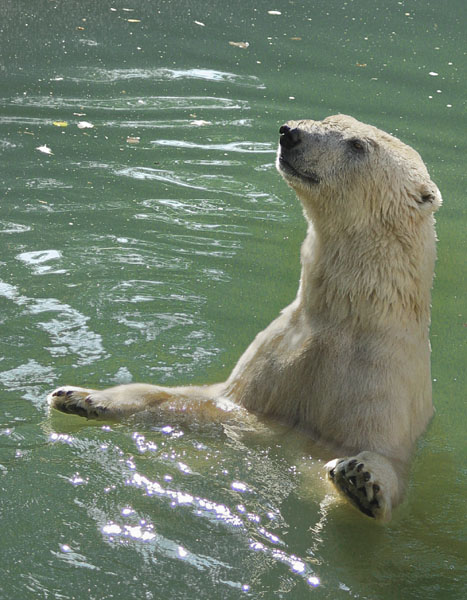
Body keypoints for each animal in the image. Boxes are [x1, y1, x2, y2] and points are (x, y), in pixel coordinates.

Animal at [48, 115, 442, 524]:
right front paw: (80, 396)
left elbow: (384, 463)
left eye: (358, 145)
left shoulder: (383, 381)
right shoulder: (273, 361)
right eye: (330, 121)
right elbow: (198, 403)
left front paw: (360, 478)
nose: (290, 133)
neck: (347, 316)